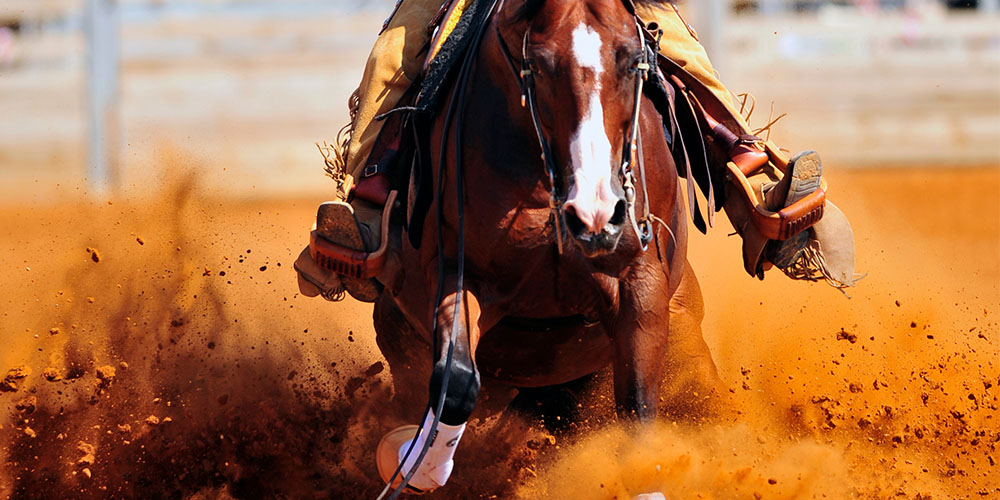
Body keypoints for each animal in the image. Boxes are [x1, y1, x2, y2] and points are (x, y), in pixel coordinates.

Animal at [372, 0, 724, 494]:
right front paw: (412, 463)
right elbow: (455, 383)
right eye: (536, 65)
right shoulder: (456, 273)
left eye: (633, 58)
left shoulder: (641, 283)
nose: (597, 214)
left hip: (689, 349)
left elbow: (638, 413)